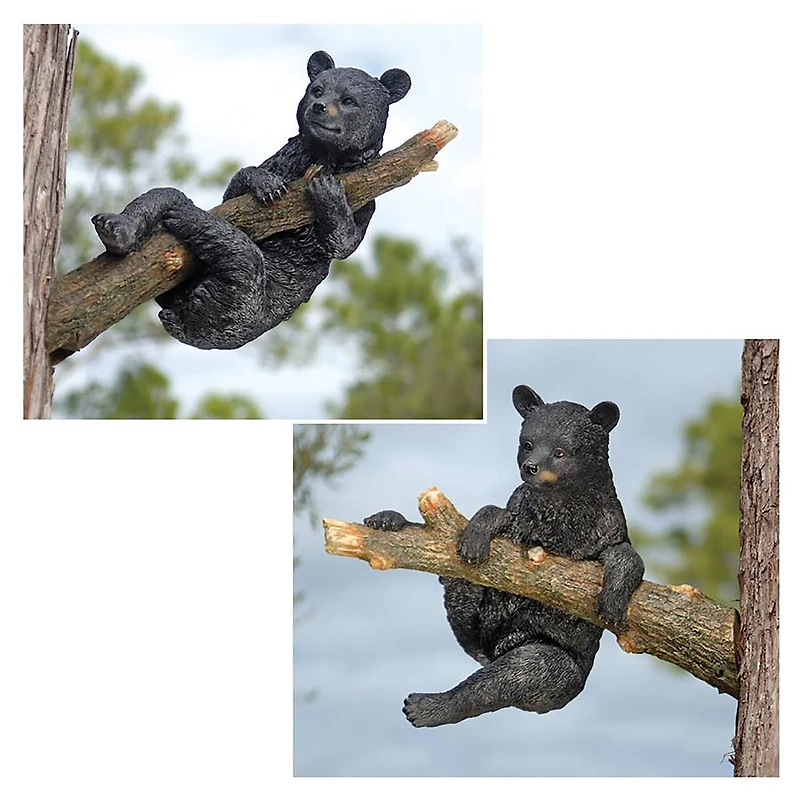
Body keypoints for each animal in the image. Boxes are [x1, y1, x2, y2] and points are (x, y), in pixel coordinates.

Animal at [91, 50, 412, 350]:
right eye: (317, 90)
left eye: (348, 100)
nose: (319, 107)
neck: (322, 156)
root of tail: (178, 317)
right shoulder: (283, 160)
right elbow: (236, 189)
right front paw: (265, 183)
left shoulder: (366, 196)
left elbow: (343, 243)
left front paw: (327, 191)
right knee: (164, 195)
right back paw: (116, 229)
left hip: (248, 305)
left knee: (240, 259)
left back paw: (187, 219)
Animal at [363, 384, 645, 728]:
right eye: (527, 444)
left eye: (561, 451)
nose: (531, 467)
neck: (560, 517)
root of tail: (496, 649)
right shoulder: (518, 520)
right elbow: (492, 511)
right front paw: (474, 538)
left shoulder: (609, 533)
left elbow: (630, 558)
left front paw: (612, 605)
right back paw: (389, 520)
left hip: (549, 663)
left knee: (499, 681)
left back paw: (425, 706)